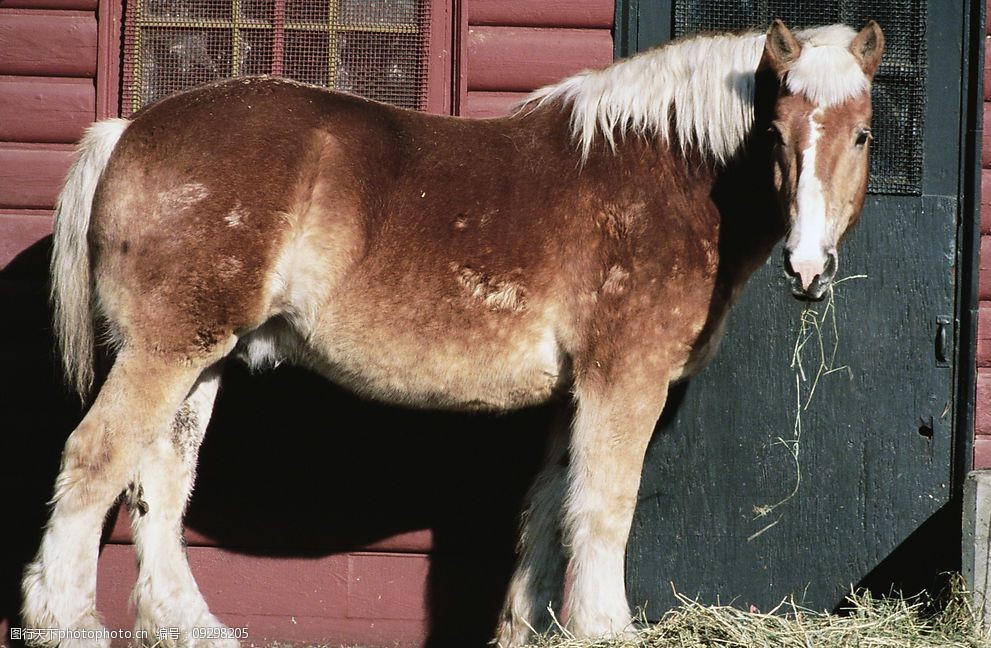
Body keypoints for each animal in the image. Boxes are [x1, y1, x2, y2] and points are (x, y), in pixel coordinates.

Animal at [23, 17, 888, 648]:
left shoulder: (574, 395)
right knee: (96, 457)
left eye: (860, 135)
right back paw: (66, 620)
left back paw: (187, 625)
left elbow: (548, 509)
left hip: (201, 356)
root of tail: (128, 131)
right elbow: (604, 505)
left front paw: (524, 629)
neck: (664, 171)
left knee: (160, 480)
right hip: (165, 350)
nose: (808, 267)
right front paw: (604, 629)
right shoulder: (622, 380)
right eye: (775, 134)